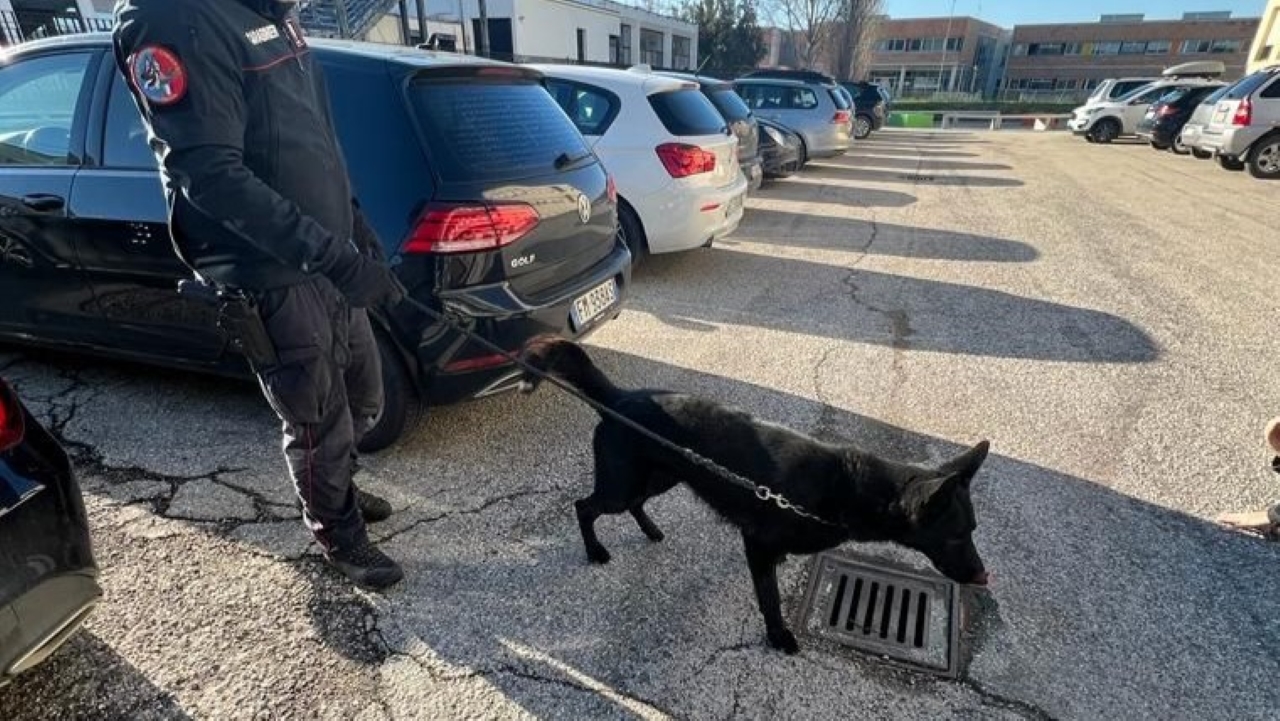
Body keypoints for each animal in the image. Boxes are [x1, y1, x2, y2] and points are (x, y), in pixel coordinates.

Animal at [517, 338, 988, 655]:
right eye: (954, 536)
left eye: (973, 530)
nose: (985, 578)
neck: (845, 484)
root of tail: (619, 398)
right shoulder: (757, 546)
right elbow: (771, 599)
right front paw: (778, 636)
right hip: (621, 484)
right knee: (585, 507)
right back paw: (595, 551)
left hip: (661, 478)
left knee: (635, 504)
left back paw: (651, 531)